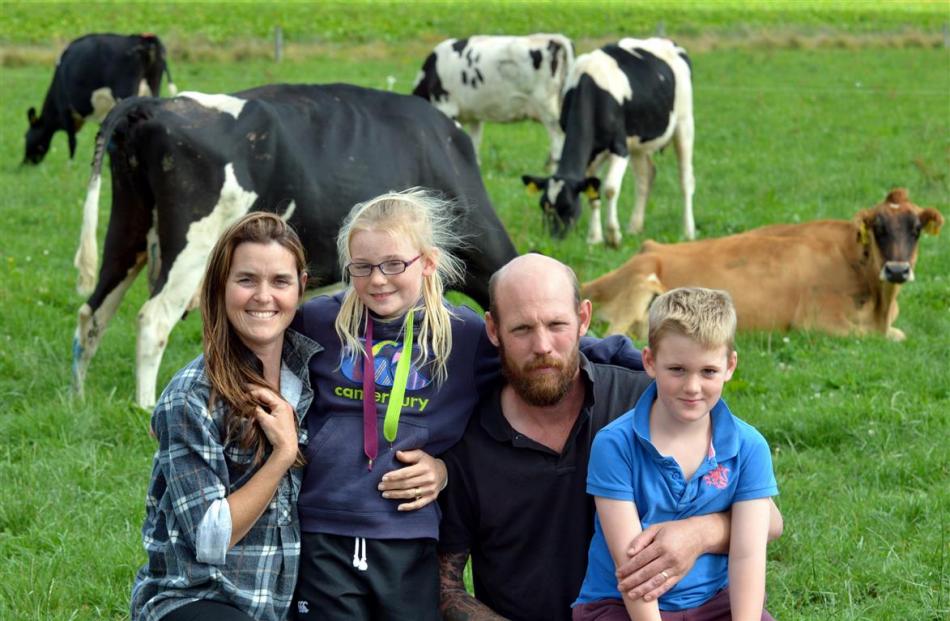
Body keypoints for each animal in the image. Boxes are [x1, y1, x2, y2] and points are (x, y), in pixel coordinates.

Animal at [23, 33, 177, 165]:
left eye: (26, 136)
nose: (24, 164)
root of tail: (142, 38)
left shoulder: (65, 110)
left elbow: (72, 140)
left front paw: (70, 164)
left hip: (125, 93)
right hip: (153, 86)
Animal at [74, 85, 520, 410]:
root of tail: (155, 104)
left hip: (128, 230)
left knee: (93, 311)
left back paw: (77, 396)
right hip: (190, 245)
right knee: (152, 320)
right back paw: (145, 406)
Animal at [410, 34, 572, 170]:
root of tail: (552, 38)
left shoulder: (446, 106)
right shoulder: (475, 117)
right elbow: (473, 144)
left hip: (547, 109)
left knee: (558, 142)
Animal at [524, 37, 696, 247]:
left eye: (568, 206)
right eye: (543, 206)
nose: (554, 238)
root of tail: (667, 41)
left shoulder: (620, 148)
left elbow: (610, 189)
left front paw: (613, 236)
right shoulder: (593, 154)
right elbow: (594, 195)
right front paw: (594, 237)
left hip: (684, 124)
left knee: (685, 180)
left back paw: (688, 231)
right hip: (638, 142)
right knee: (645, 177)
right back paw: (635, 227)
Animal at [584, 189, 948, 344]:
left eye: (916, 229)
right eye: (879, 228)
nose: (898, 270)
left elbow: (899, 334)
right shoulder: (817, 321)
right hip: (641, 283)